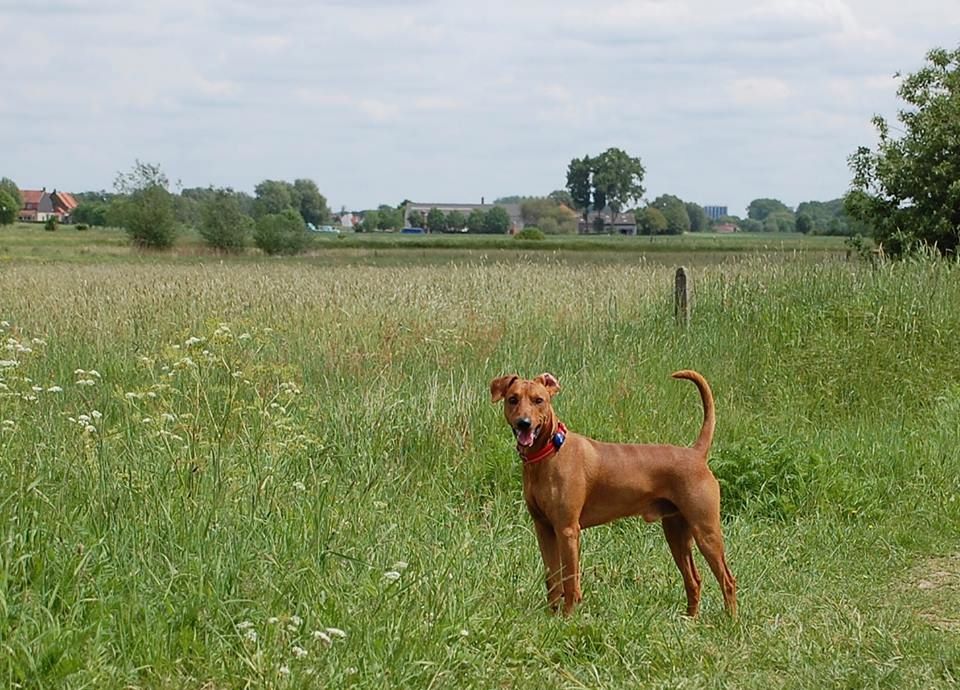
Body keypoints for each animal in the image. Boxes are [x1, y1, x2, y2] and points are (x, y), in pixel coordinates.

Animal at [492, 368, 740, 616]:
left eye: (539, 400)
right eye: (513, 399)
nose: (524, 423)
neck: (550, 451)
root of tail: (696, 453)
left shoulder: (567, 530)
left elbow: (570, 582)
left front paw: (567, 617)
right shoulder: (544, 529)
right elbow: (553, 580)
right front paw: (552, 615)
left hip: (706, 531)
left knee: (727, 580)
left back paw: (730, 620)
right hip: (676, 532)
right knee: (694, 580)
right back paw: (690, 619)